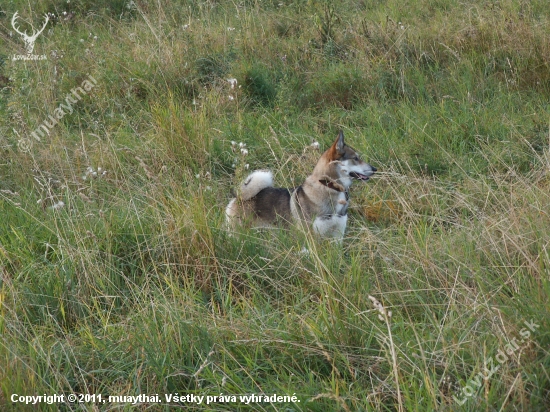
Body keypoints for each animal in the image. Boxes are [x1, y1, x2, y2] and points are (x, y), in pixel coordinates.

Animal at [226, 130, 378, 240]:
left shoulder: (337, 236)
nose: (375, 169)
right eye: (356, 158)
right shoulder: (312, 236)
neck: (329, 187)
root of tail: (239, 197)